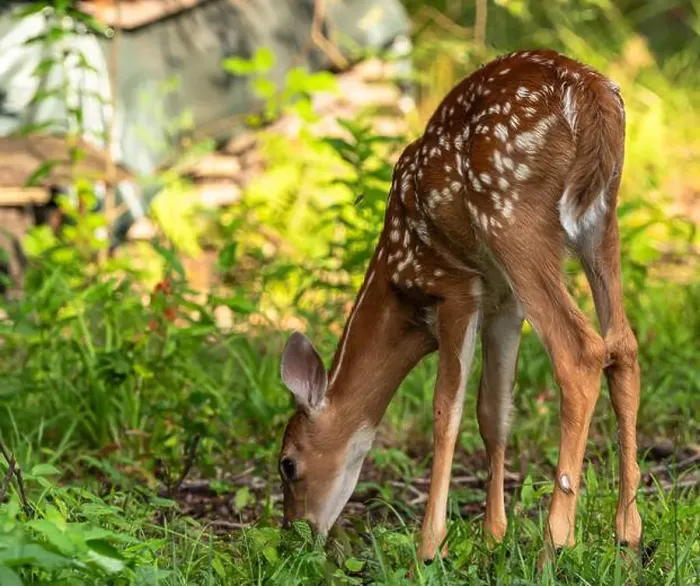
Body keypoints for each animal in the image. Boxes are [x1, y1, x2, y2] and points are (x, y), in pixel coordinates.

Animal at [277, 49, 642, 564]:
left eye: (287, 464)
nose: (295, 534)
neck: (398, 285)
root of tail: (593, 95)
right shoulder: (503, 304)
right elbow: (493, 412)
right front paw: (493, 537)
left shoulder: (455, 288)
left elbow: (445, 413)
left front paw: (431, 546)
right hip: (602, 221)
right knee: (623, 345)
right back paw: (628, 533)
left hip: (510, 216)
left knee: (581, 352)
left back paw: (556, 542)